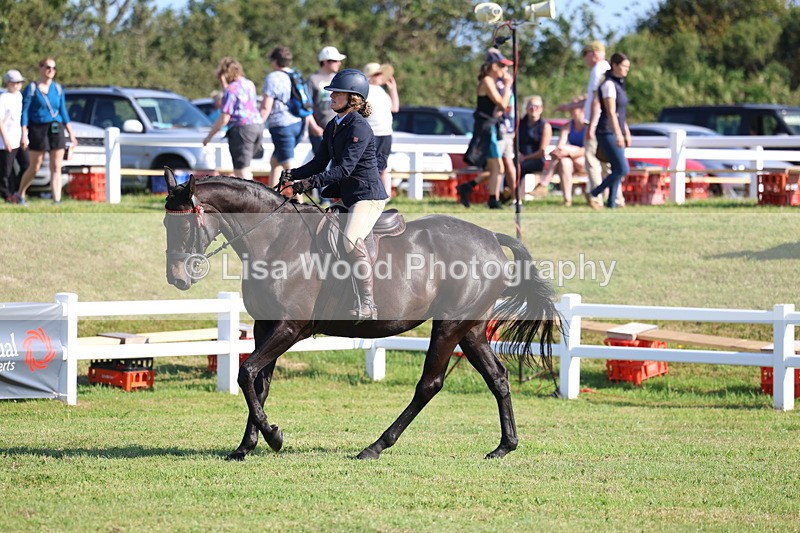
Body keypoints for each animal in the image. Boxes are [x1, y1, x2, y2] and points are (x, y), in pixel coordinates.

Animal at [162, 168, 559, 460]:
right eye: (166, 224)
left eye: (183, 224)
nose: (177, 279)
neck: (276, 240)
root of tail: (491, 238)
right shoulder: (264, 328)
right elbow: (258, 383)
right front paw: (247, 444)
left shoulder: (289, 329)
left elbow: (246, 372)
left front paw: (273, 436)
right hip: (472, 329)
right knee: (498, 378)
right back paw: (504, 446)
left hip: (449, 326)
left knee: (429, 384)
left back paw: (375, 446)